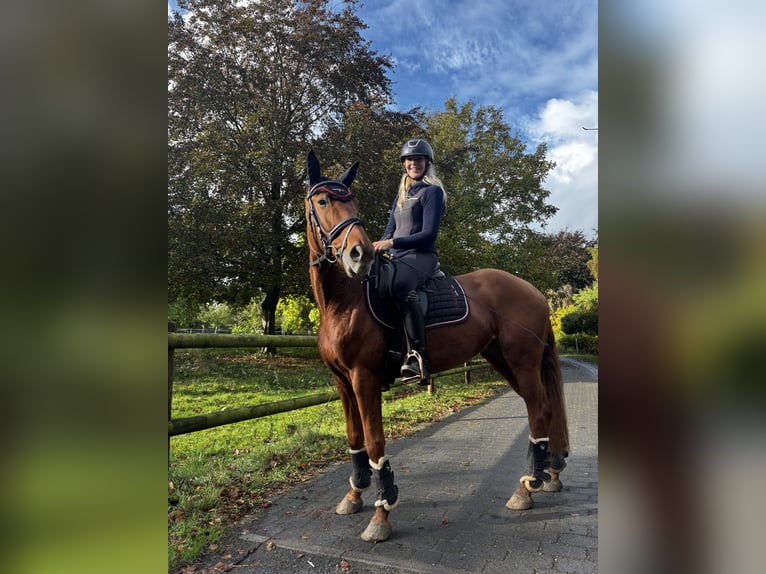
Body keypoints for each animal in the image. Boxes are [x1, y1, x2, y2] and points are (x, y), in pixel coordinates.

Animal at [304, 151, 569, 542]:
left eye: (352, 202)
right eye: (323, 201)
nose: (360, 255)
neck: (346, 301)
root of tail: (534, 291)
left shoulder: (364, 378)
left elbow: (375, 441)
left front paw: (381, 514)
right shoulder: (342, 381)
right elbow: (355, 438)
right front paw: (354, 495)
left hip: (522, 363)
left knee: (538, 411)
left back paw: (526, 490)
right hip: (504, 361)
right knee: (544, 410)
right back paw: (547, 475)